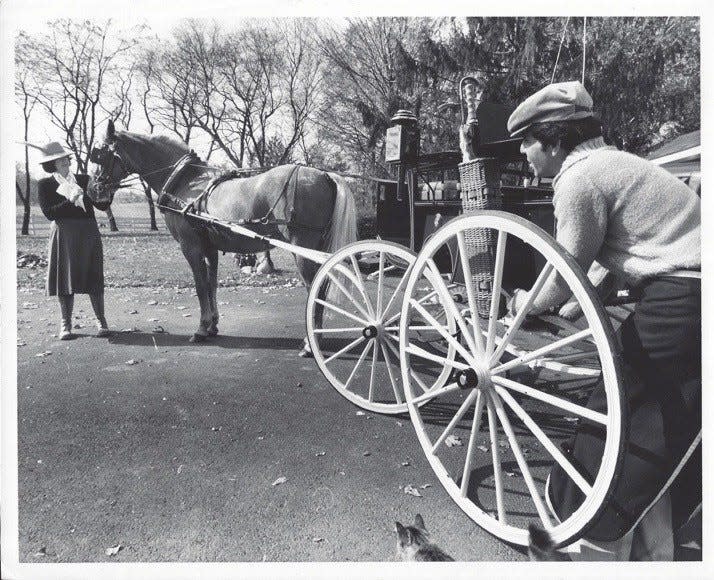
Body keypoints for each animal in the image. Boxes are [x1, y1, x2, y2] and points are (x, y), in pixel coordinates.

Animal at [89, 120, 356, 352]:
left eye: (99, 154)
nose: (93, 190)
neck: (185, 182)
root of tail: (324, 175)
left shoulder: (191, 247)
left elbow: (199, 286)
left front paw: (200, 329)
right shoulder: (210, 248)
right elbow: (211, 285)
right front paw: (212, 326)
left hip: (303, 249)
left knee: (316, 289)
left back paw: (311, 344)